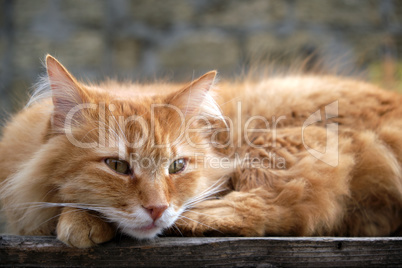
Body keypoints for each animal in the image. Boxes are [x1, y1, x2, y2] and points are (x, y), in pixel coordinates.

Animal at [0, 55, 400, 248]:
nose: (157, 208)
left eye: (177, 166)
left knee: (270, 209)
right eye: (117, 165)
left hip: (279, 143)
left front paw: (80, 221)